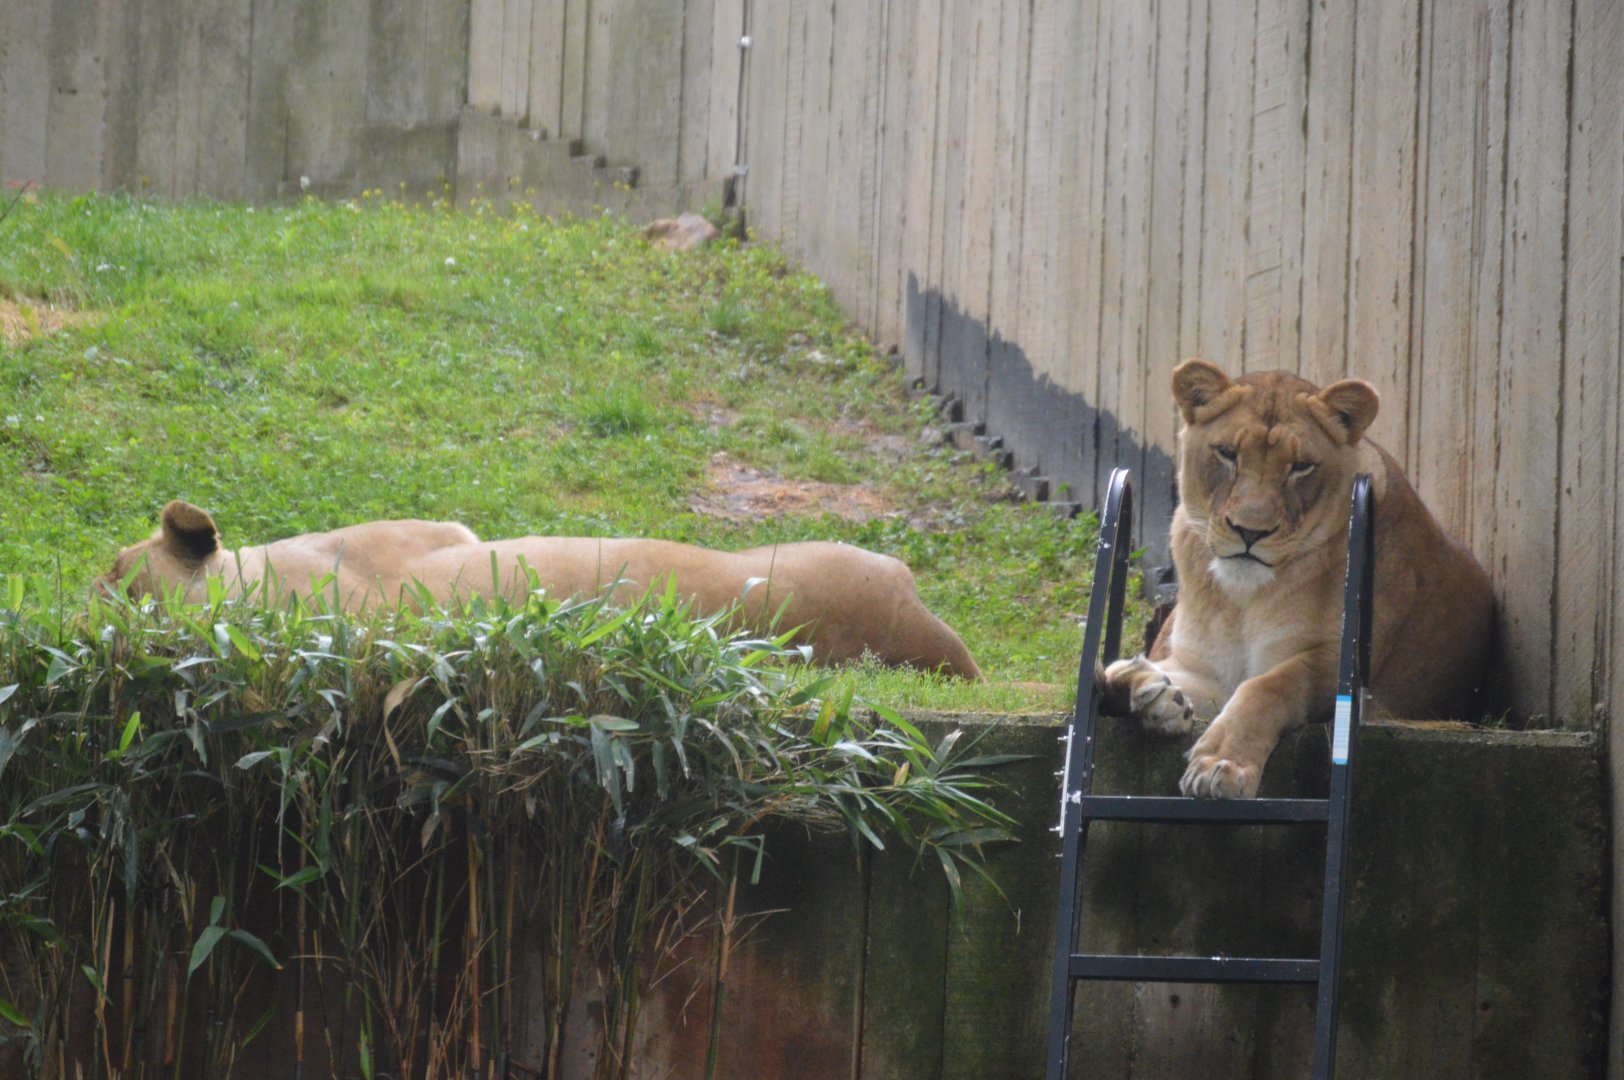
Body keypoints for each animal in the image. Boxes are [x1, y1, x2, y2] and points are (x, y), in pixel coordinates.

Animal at [1101, 359, 1493, 798]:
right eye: (1227, 453)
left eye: (1301, 466)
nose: (1250, 531)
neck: (1241, 600)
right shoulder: (1205, 672)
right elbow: (1116, 673)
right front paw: (1148, 689)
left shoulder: (1337, 669)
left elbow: (1271, 685)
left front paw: (1221, 762)